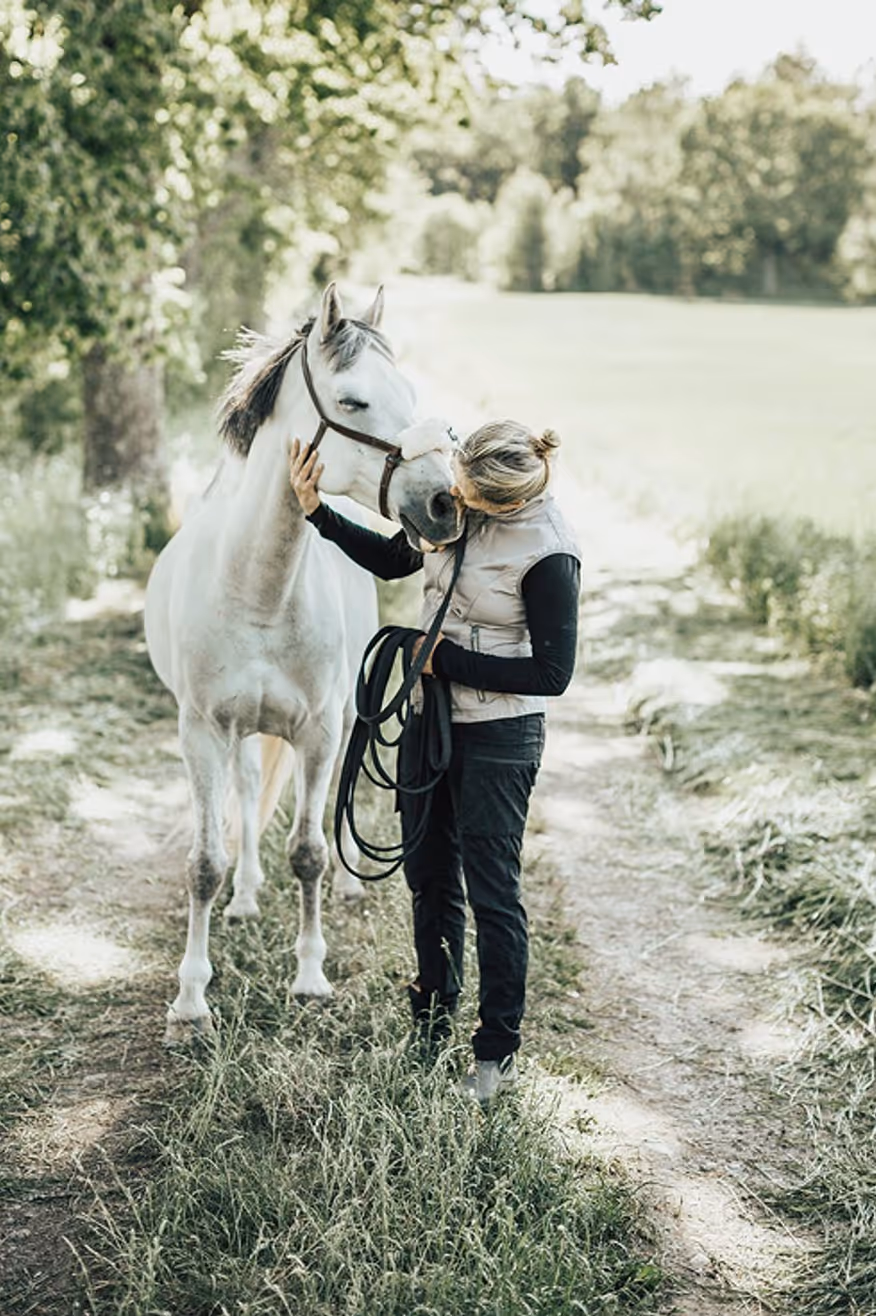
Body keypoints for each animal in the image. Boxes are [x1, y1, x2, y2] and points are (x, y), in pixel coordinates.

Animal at [145, 283, 462, 1044]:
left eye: (410, 393)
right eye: (354, 401)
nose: (443, 503)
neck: (257, 588)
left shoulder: (316, 730)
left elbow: (309, 851)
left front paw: (310, 978)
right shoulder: (201, 732)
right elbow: (204, 862)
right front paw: (191, 1001)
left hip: (345, 715)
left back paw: (345, 886)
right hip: (237, 735)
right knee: (245, 791)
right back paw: (245, 897)